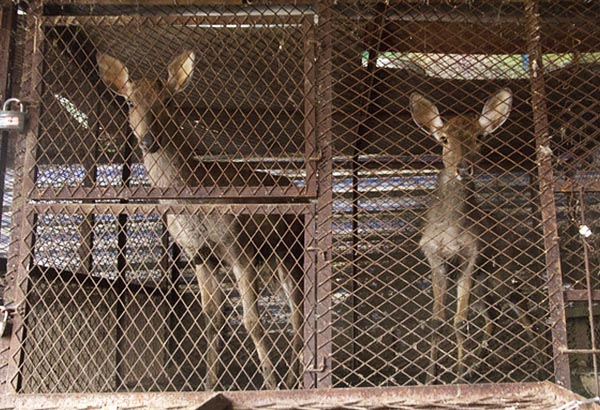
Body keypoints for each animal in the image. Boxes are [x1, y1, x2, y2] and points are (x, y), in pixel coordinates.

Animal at [97, 50, 303, 390]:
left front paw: (270, 384)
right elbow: (212, 320)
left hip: (293, 255)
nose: (148, 140)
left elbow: (252, 322)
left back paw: (293, 381)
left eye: (168, 101)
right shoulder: (199, 256)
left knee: (300, 316)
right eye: (129, 102)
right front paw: (209, 384)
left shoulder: (239, 248)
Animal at [411, 89, 541, 383]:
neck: (450, 228)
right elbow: (437, 322)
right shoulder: (433, 255)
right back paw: (478, 364)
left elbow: (461, 321)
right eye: (443, 138)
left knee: (518, 303)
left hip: (501, 271)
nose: (463, 168)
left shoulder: (471, 255)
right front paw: (431, 378)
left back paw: (539, 356)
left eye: (479, 137)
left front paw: (457, 376)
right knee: (492, 314)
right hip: (485, 284)